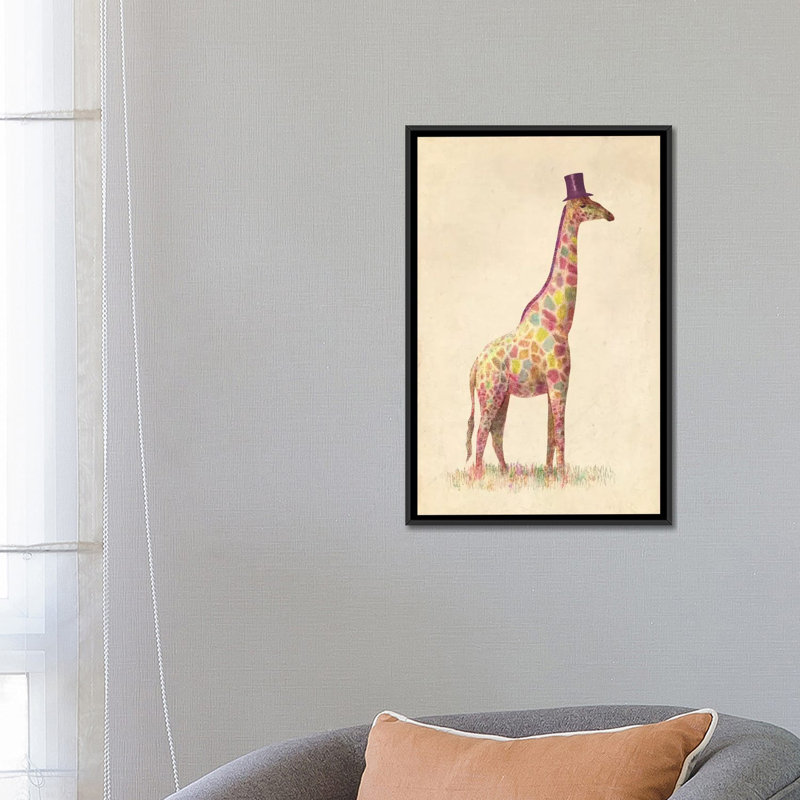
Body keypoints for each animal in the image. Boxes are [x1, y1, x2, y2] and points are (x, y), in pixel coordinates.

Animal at [465, 173, 614, 480]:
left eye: (593, 199)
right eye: (584, 204)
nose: (610, 215)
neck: (561, 320)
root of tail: (475, 364)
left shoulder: (553, 385)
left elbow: (550, 435)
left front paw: (549, 475)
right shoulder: (559, 383)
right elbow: (561, 433)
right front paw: (564, 478)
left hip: (502, 395)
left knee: (495, 432)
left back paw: (507, 472)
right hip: (490, 392)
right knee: (483, 431)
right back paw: (480, 477)